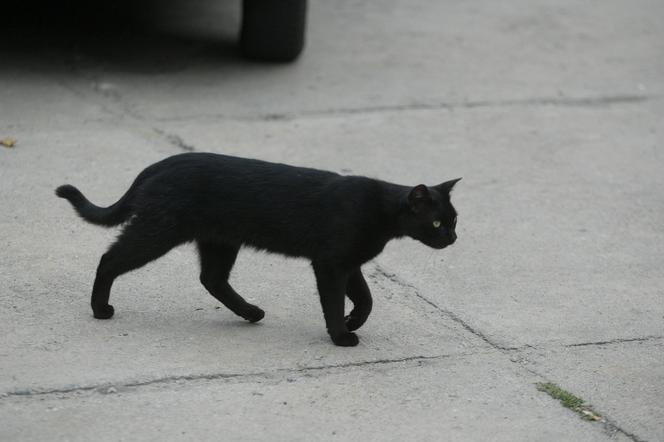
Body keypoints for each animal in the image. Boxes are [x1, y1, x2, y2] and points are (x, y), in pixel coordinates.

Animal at [57, 154, 460, 348]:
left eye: (455, 220)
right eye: (436, 224)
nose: (453, 238)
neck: (382, 211)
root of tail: (159, 164)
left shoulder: (350, 263)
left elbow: (366, 298)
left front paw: (352, 321)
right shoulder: (330, 264)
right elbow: (334, 301)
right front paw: (340, 335)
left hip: (219, 240)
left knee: (212, 278)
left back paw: (251, 312)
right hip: (158, 232)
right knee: (110, 258)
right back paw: (100, 309)